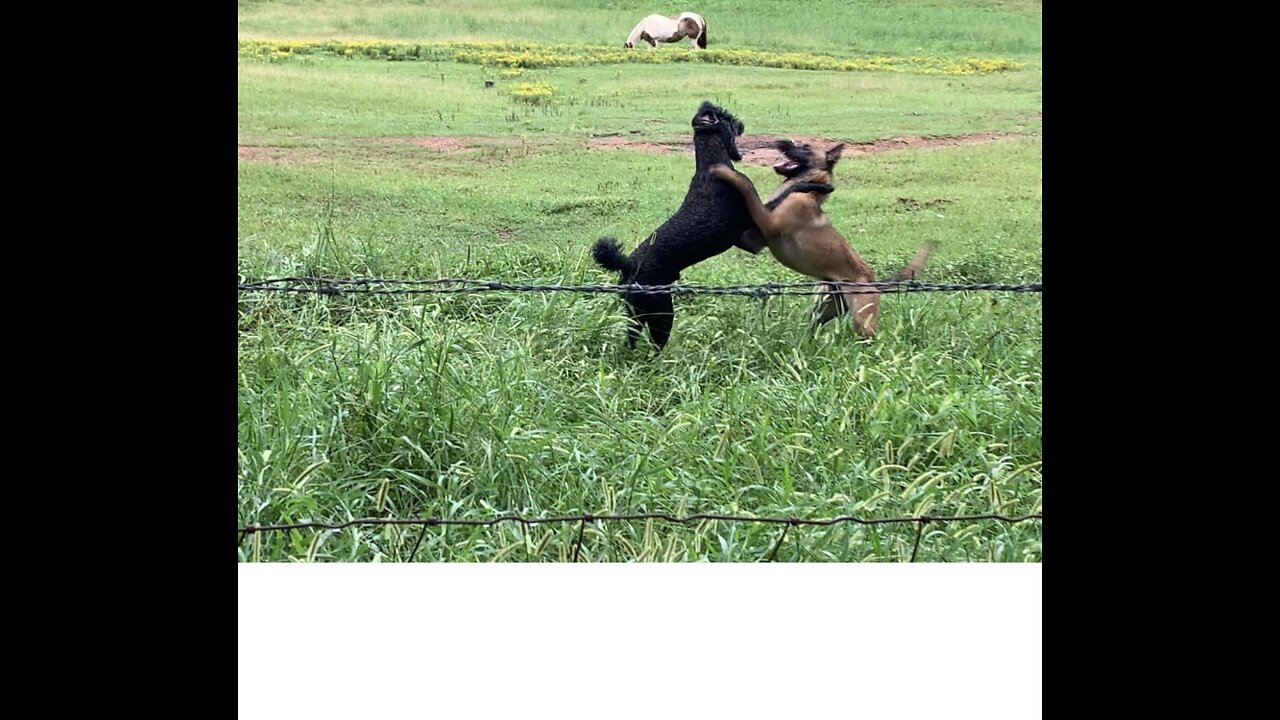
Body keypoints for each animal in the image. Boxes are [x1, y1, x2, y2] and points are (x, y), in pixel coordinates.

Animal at [711, 140, 931, 335]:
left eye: (805, 147)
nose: (780, 141)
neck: (811, 192)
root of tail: (874, 283)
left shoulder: (767, 222)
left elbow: (747, 184)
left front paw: (725, 171)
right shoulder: (753, 241)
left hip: (863, 320)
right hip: (821, 308)